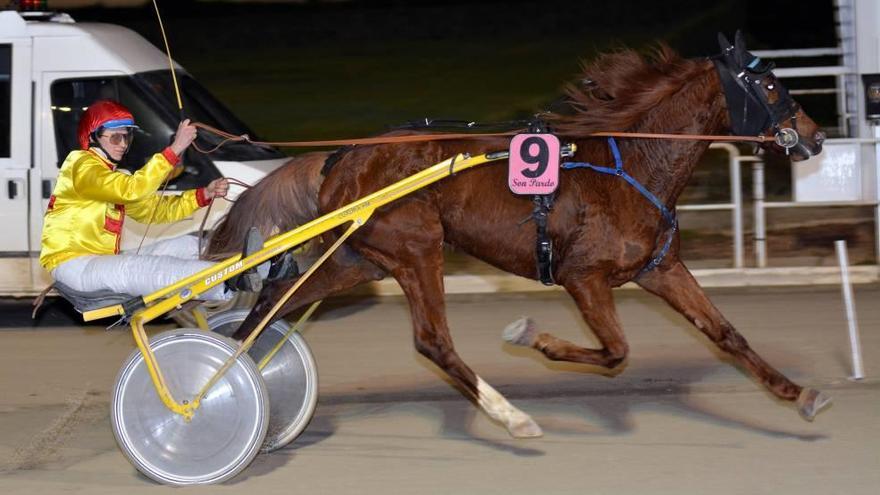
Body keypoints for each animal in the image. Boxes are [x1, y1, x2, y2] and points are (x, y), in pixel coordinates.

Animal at [208, 34, 832, 438]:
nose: (816, 136)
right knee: (432, 341)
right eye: (769, 84)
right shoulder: (583, 277)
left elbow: (727, 334)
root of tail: (341, 157)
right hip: (416, 247)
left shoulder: (662, 269)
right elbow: (615, 351)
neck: (632, 163)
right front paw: (535, 338)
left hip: (362, 259)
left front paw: (801, 394)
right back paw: (513, 417)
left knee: (274, 299)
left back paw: (228, 374)